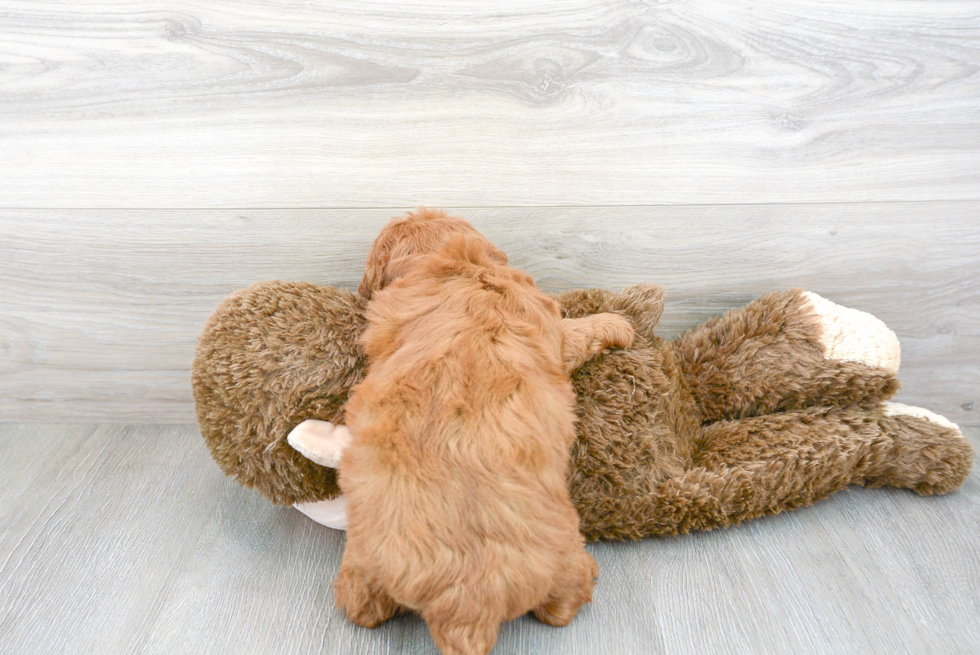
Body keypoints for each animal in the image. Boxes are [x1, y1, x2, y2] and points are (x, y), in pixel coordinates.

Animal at [334, 210, 632, 655]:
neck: (448, 265)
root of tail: (466, 605)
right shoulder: (553, 332)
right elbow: (579, 331)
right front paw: (618, 323)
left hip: (363, 559)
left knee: (361, 606)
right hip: (562, 557)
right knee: (561, 606)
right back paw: (589, 573)